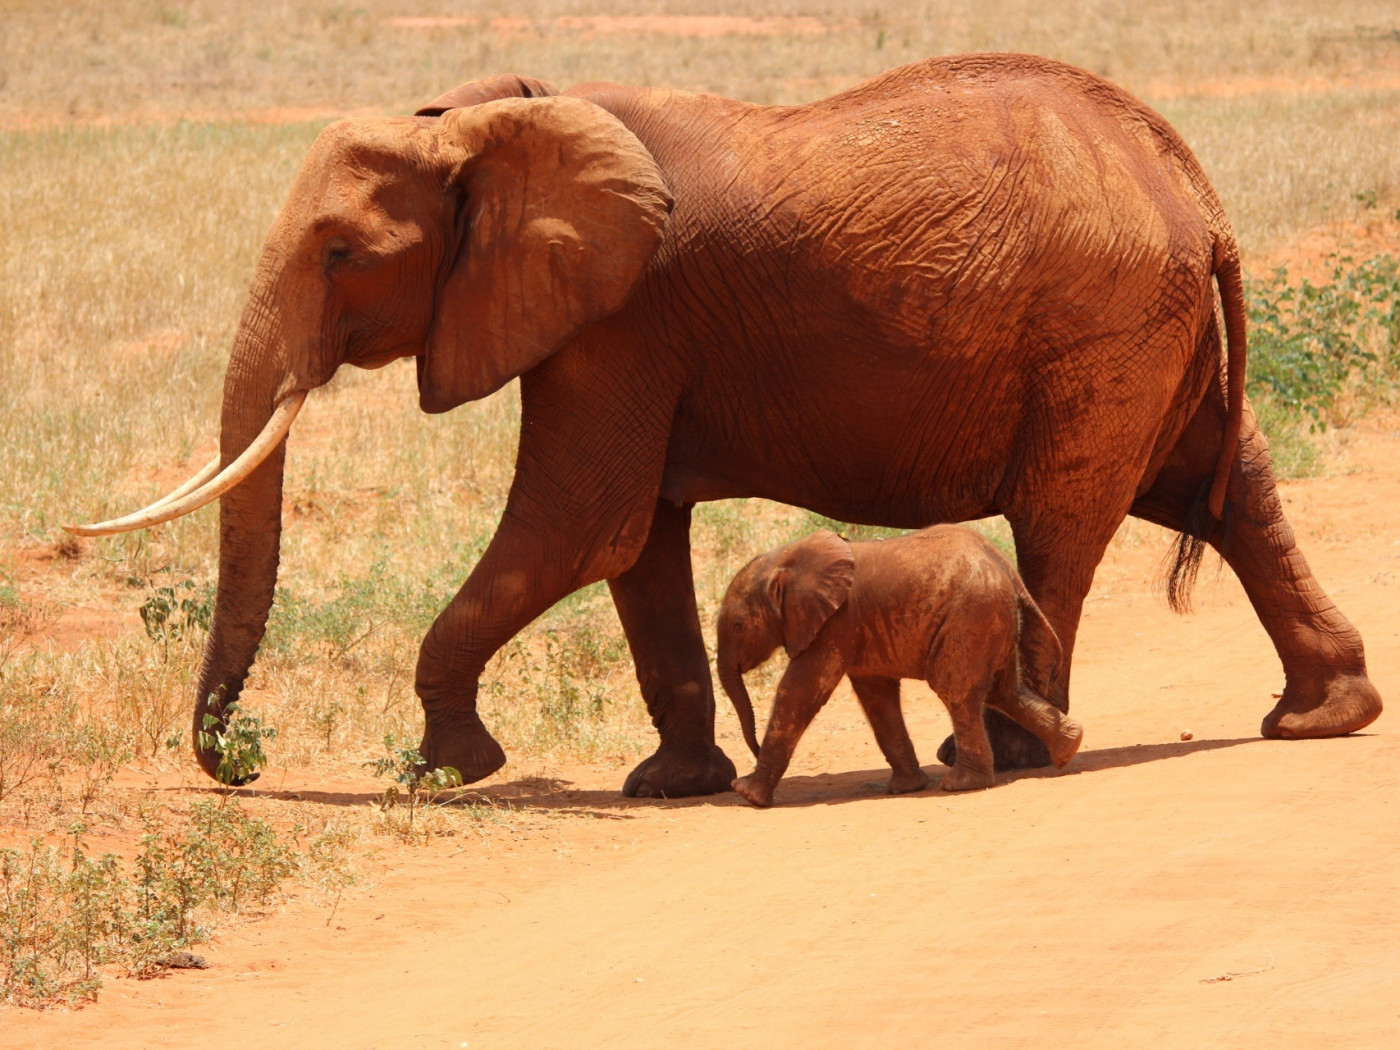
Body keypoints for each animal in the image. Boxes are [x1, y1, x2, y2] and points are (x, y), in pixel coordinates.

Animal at [717, 527, 1083, 807]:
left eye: (737, 626)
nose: (753, 748)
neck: (785, 560)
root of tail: (1008, 571)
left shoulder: (834, 624)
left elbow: (799, 691)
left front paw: (747, 794)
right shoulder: (857, 629)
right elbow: (877, 698)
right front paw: (907, 787)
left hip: (970, 618)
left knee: (958, 693)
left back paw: (962, 784)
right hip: (991, 620)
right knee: (1004, 692)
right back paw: (1070, 747)